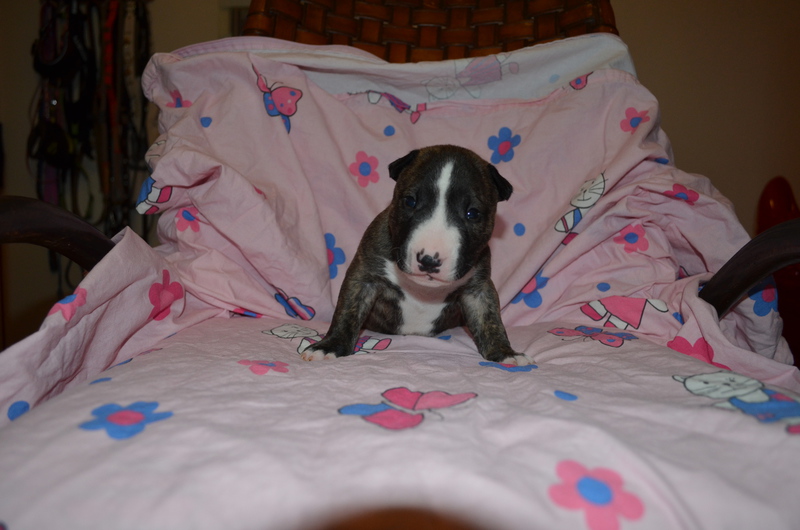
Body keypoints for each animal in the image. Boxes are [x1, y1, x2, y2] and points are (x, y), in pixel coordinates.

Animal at [301, 145, 531, 366]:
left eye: (472, 213)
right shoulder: (364, 275)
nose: (429, 260)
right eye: (410, 201)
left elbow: (490, 319)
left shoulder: (479, 288)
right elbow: (347, 310)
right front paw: (330, 346)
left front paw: (505, 353)